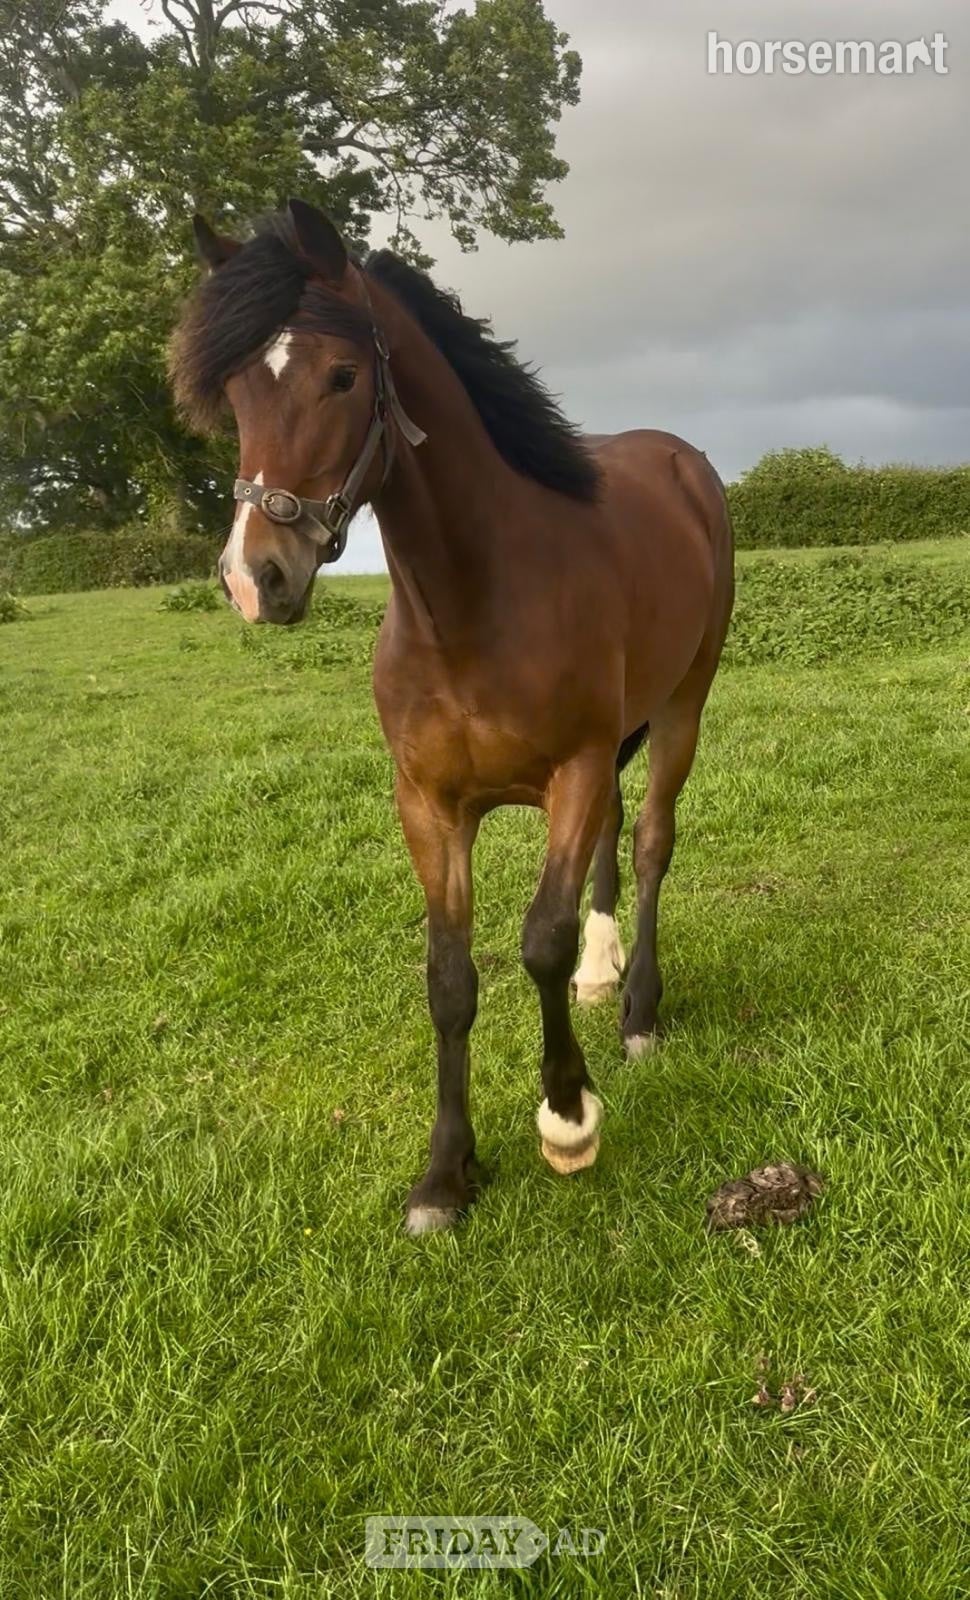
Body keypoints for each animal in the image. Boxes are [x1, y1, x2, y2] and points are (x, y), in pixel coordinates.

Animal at [170, 199, 735, 1234]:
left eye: (343, 376)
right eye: (233, 391)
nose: (253, 577)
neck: (470, 608)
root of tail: (682, 463)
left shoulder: (572, 771)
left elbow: (539, 941)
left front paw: (568, 1119)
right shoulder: (429, 804)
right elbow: (449, 976)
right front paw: (445, 1174)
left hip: (684, 702)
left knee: (649, 841)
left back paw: (638, 1011)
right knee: (615, 842)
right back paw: (605, 974)